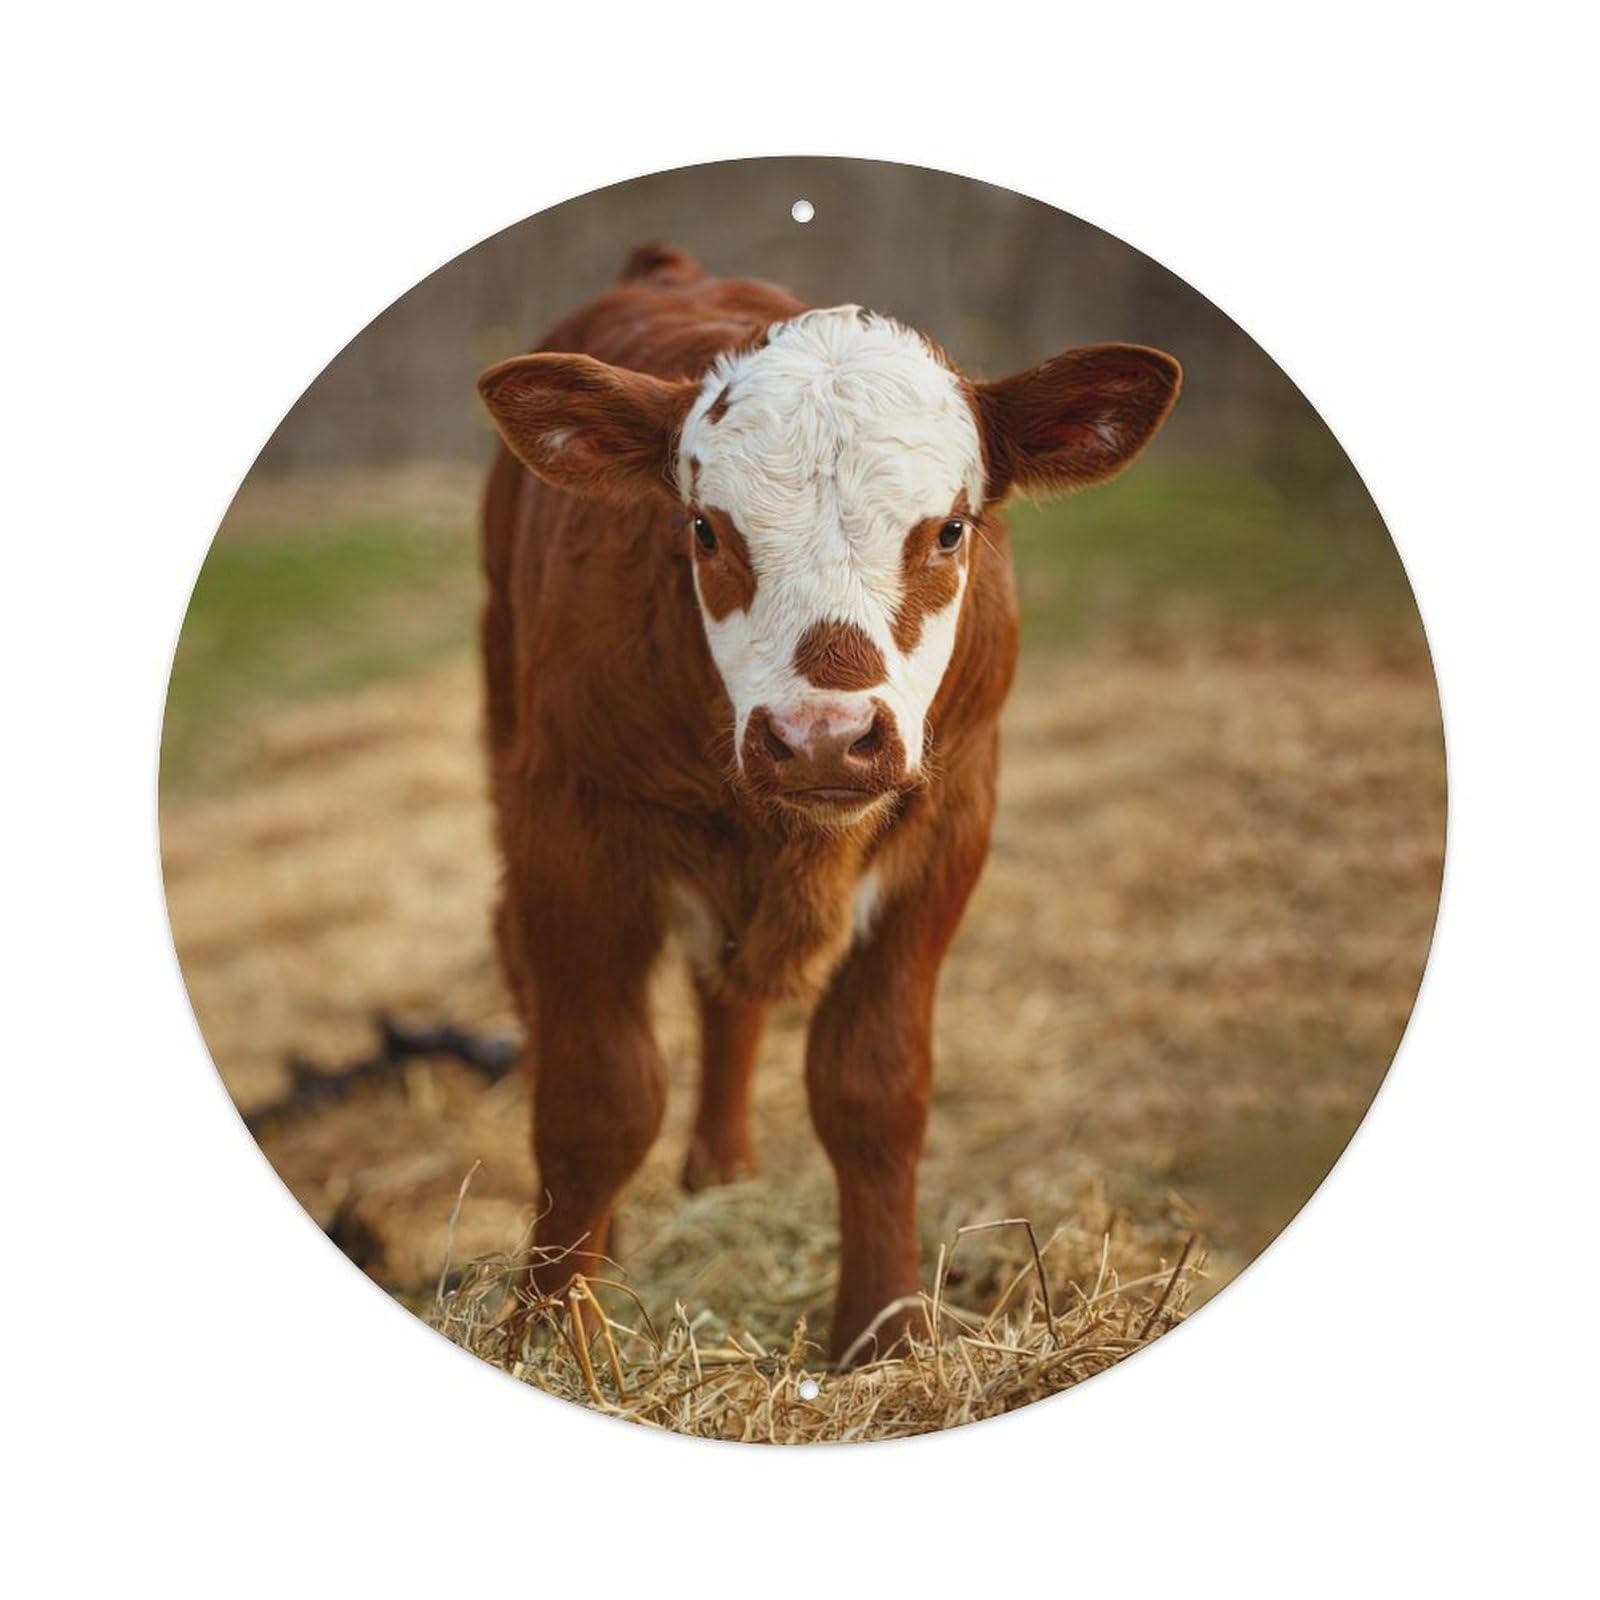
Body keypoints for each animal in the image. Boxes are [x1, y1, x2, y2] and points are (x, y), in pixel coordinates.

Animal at [476, 243, 1180, 1365]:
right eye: (704, 529)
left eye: (948, 530)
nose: (822, 736)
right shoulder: (570, 830)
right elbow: (596, 1099)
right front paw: (551, 1331)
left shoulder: (948, 831)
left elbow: (873, 1090)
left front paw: (885, 1334)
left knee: (729, 996)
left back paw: (722, 1173)